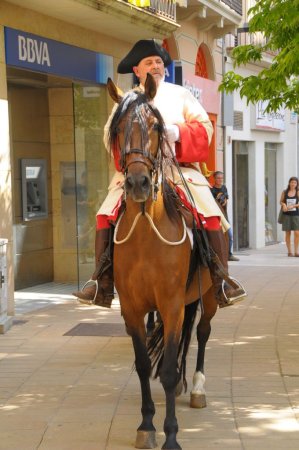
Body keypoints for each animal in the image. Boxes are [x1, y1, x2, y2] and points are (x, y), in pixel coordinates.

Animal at [107, 74, 218, 450]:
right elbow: (143, 365)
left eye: (156, 126)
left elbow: (167, 370)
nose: (138, 183)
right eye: (118, 128)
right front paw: (146, 426)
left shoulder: (170, 305)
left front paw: (171, 435)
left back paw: (197, 386)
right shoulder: (133, 307)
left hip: (209, 295)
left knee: (202, 332)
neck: (146, 233)